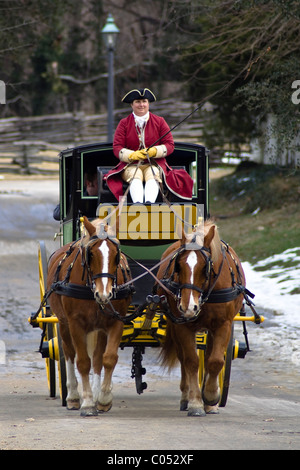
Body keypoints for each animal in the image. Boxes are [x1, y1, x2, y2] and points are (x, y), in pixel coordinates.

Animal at [46, 216, 133, 414]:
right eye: (91, 254)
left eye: (116, 255)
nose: (104, 294)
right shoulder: (75, 323)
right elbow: (83, 362)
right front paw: (86, 402)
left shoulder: (116, 321)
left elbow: (108, 358)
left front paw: (103, 398)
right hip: (63, 323)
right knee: (69, 353)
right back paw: (72, 396)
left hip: (99, 328)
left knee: (98, 358)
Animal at [157, 218, 246, 416]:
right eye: (178, 266)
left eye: (205, 267)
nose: (188, 307)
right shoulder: (182, 326)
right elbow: (191, 361)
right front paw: (195, 402)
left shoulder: (223, 325)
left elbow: (215, 361)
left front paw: (211, 397)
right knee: (183, 358)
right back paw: (186, 396)